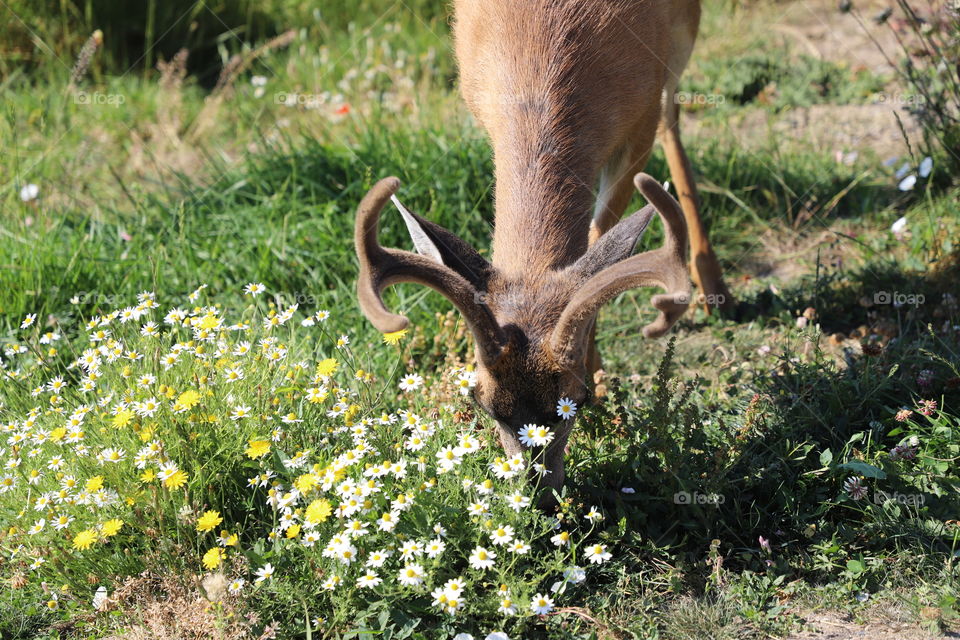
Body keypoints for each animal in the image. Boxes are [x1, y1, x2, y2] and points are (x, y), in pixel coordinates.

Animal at [356, 0, 732, 496]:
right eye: (483, 403)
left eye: (574, 400)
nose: (542, 498)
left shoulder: (639, 122)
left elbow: (598, 240)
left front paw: (599, 377)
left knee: (673, 122)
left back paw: (715, 286)